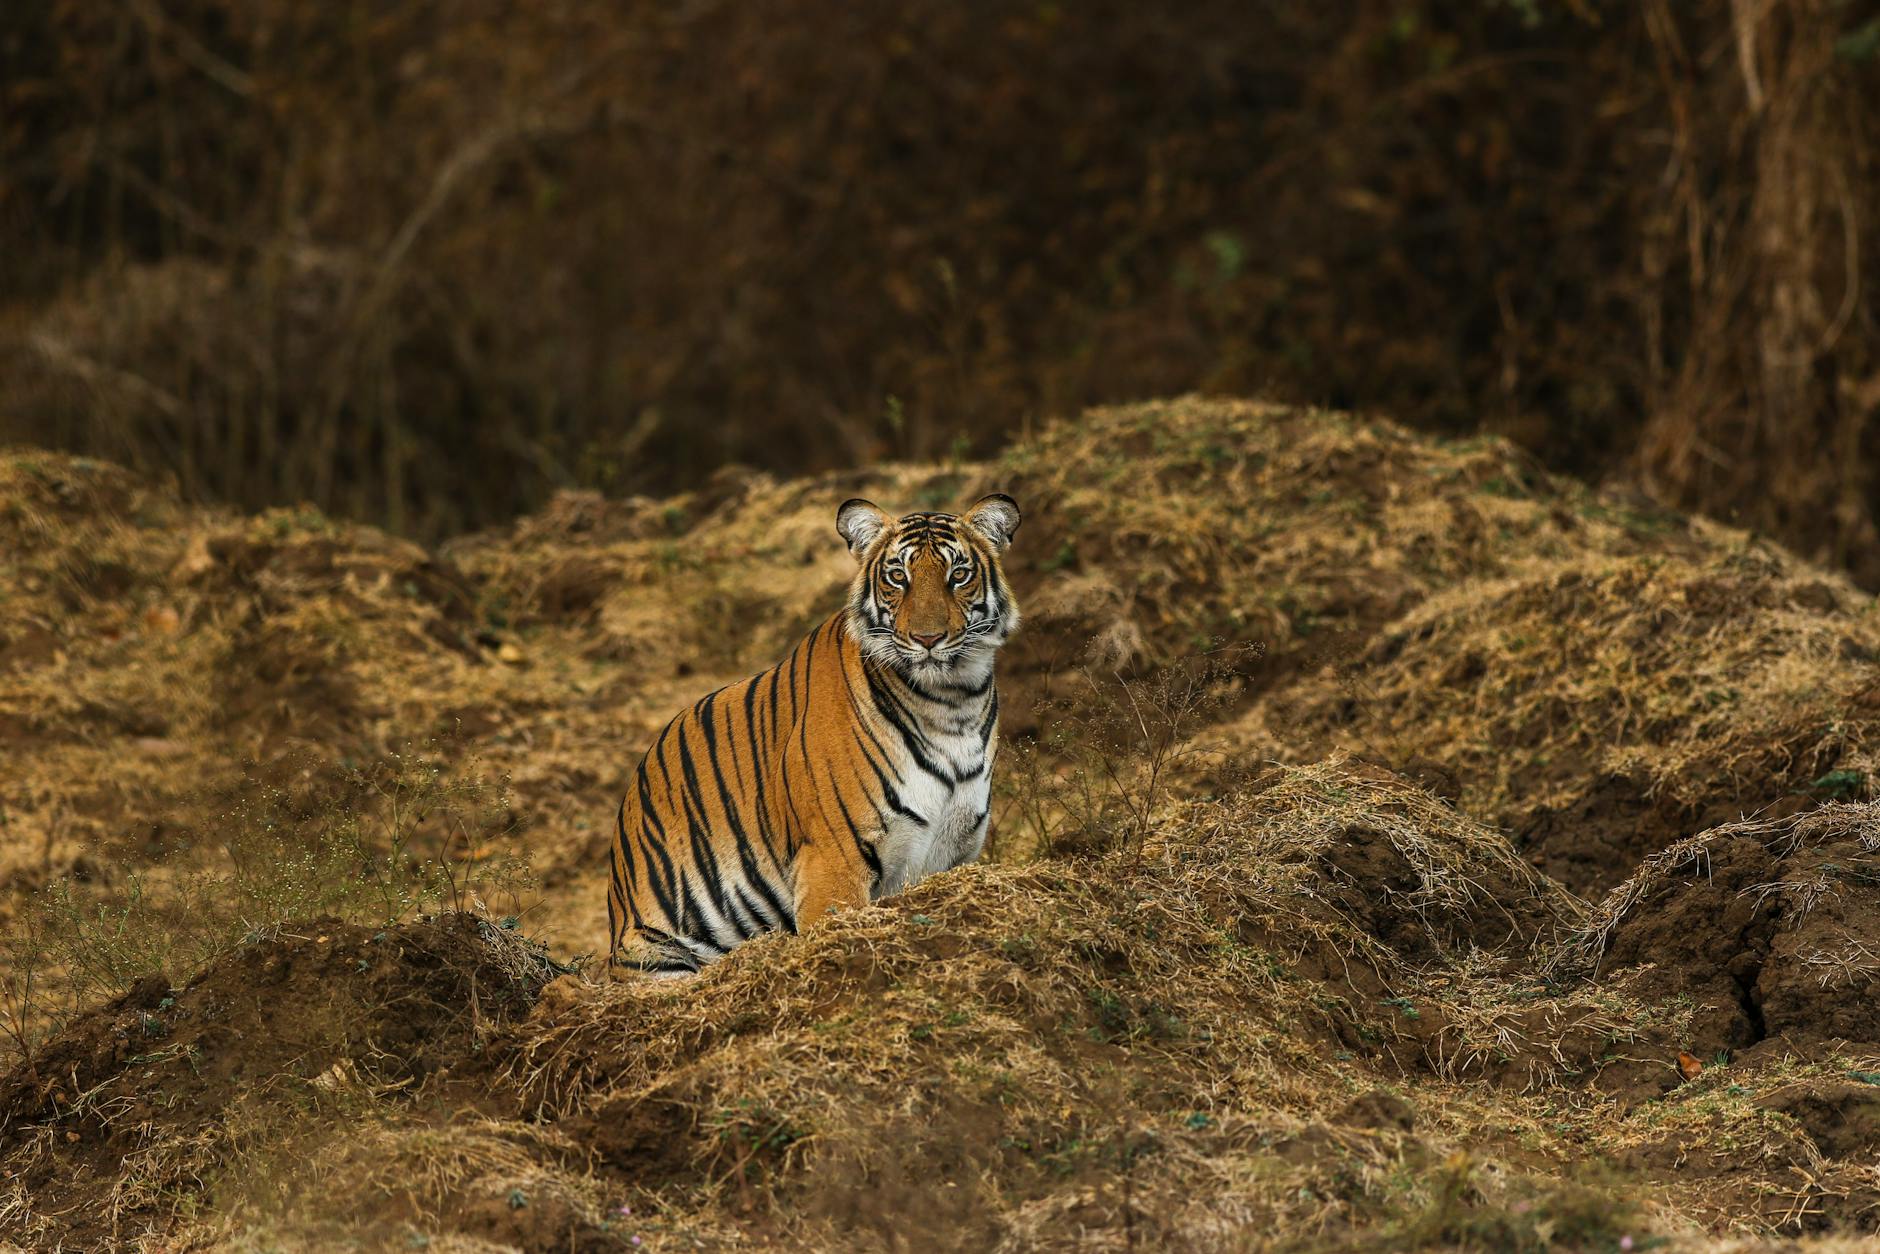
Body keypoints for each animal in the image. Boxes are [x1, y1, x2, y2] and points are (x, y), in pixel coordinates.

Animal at [605, 493, 1023, 975]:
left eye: (958, 575)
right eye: (898, 577)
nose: (928, 638)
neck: (952, 704)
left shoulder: (953, 853)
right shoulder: (833, 859)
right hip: (656, 954)